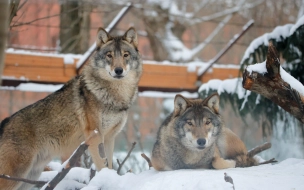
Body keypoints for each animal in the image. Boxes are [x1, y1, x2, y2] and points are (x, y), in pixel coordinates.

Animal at [0, 27, 142, 190]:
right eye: (109, 55)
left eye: (125, 55)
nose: (118, 70)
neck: (116, 95)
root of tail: (5, 122)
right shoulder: (95, 135)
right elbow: (102, 165)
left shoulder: (109, 137)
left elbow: (109, 165)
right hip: (15, 177)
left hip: (30, 176)